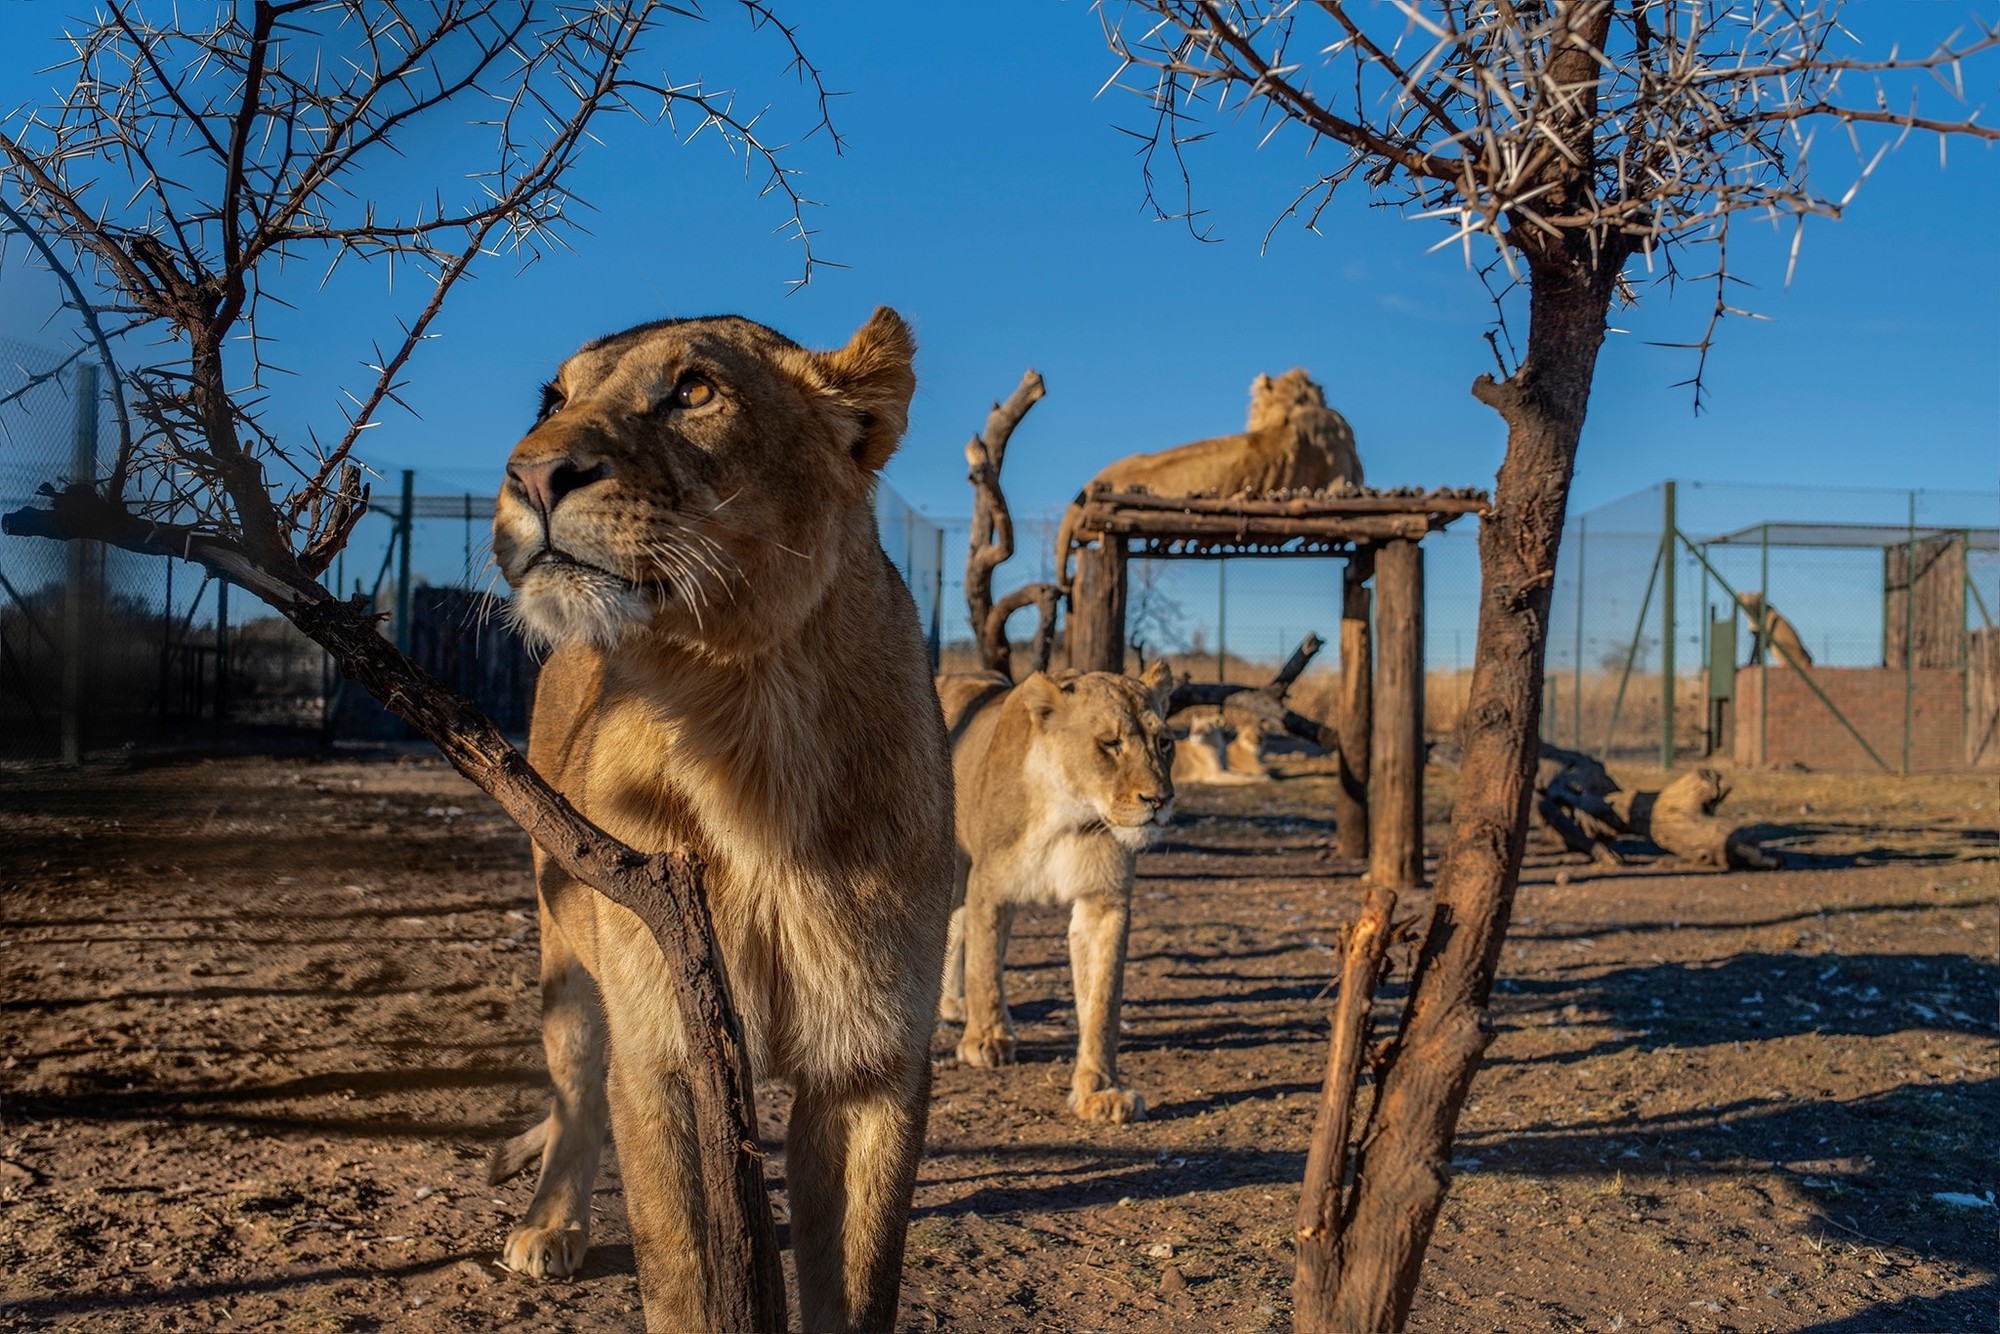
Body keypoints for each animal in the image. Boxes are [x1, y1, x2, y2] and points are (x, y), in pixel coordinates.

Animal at [484, 308, 952, 1328]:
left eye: (694, 390)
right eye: (552, 399)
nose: (531, 475)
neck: (745, 724)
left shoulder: (870, 1065)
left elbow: (857, 1286)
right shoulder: (666, 1048)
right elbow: (686, 1276)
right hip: (566, 958)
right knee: (576, 1096)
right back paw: (549, 1226)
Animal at [932, 664, 1168, 1120]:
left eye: (1164, 743)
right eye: (1110, 743)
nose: (1160, 800)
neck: (1069, 816)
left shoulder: (1104, 901)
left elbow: (1102, 1003)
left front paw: (1101, 1090)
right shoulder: (991, 884)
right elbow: (986, 967)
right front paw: (985, 1040)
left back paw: (952, 1004)